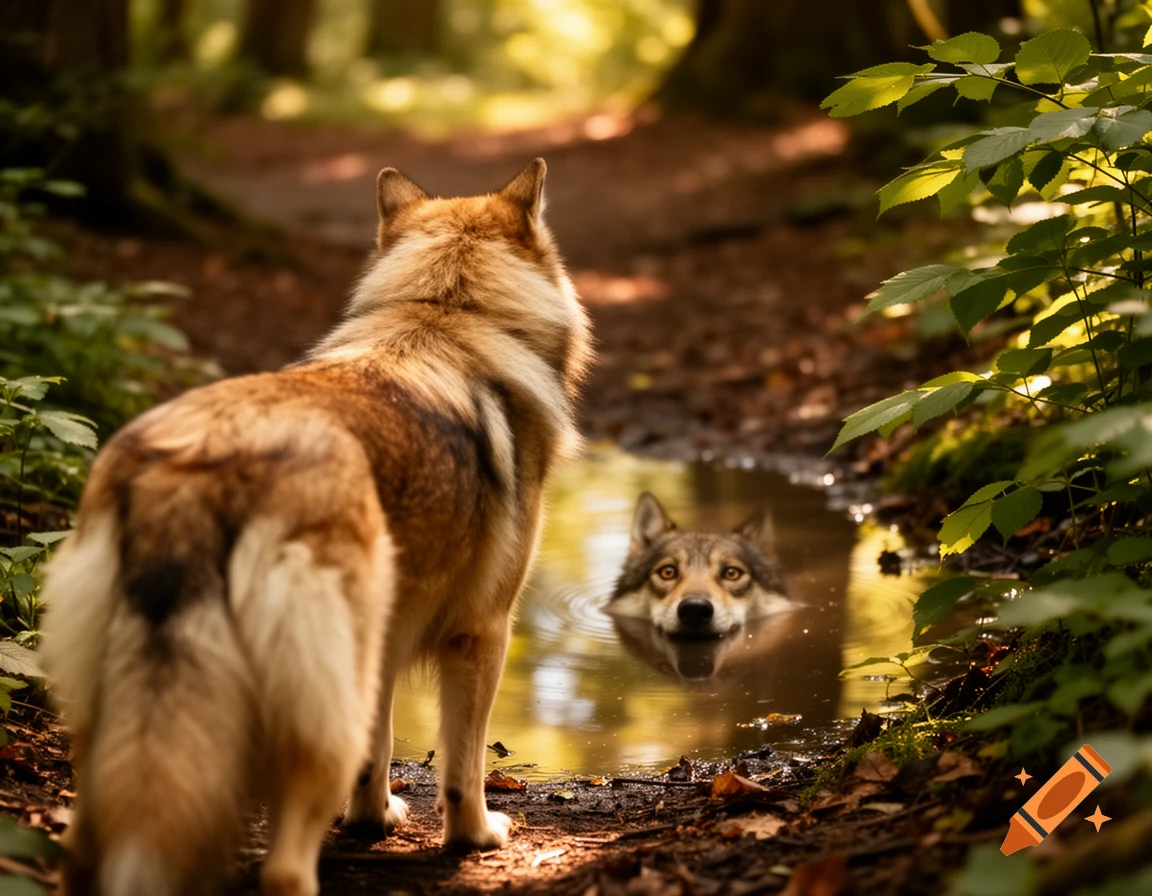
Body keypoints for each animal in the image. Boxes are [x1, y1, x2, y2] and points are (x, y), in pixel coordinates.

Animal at [39, 158, 591, 896]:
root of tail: (199, 463)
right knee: (285, 866)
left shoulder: (385, 637)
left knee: (82, 849)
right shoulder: (481, 633)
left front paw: (374, 819)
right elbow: (463, 767)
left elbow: (379, 749)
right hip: (318, 713)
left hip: (115, 721)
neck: (445, 313)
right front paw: (474, 838)